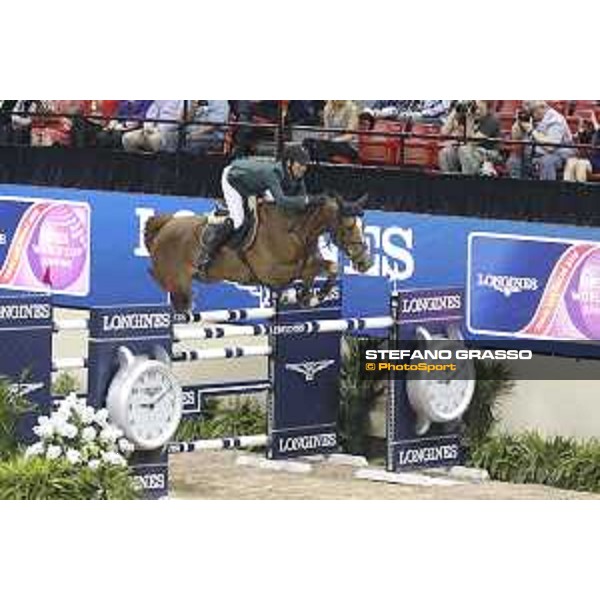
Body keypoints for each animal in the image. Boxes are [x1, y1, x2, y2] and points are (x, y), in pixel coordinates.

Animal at [143, 193, 372, 314]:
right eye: (348, 227)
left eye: (363, 226)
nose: (365, 263)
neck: (295, 232)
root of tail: (165, 225)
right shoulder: (274, 273)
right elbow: (306, 270)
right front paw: (310, 296)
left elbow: (329, 267)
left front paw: (311, 296)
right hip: (178, 283)